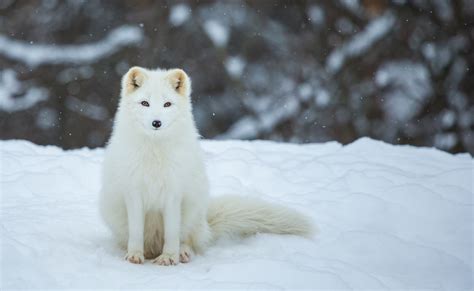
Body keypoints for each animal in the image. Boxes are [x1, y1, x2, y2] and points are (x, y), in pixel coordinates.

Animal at [99, 66, 314, 266]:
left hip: (192, 210)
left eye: (167, 104)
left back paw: (182, 253)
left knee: (187, 239)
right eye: (145, 103)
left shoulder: (174, 194)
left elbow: (172, 233)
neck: (155, 156)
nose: (156, 122)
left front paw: (169, 257)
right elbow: (136, 231)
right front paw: (135, 255)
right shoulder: (133, 192)